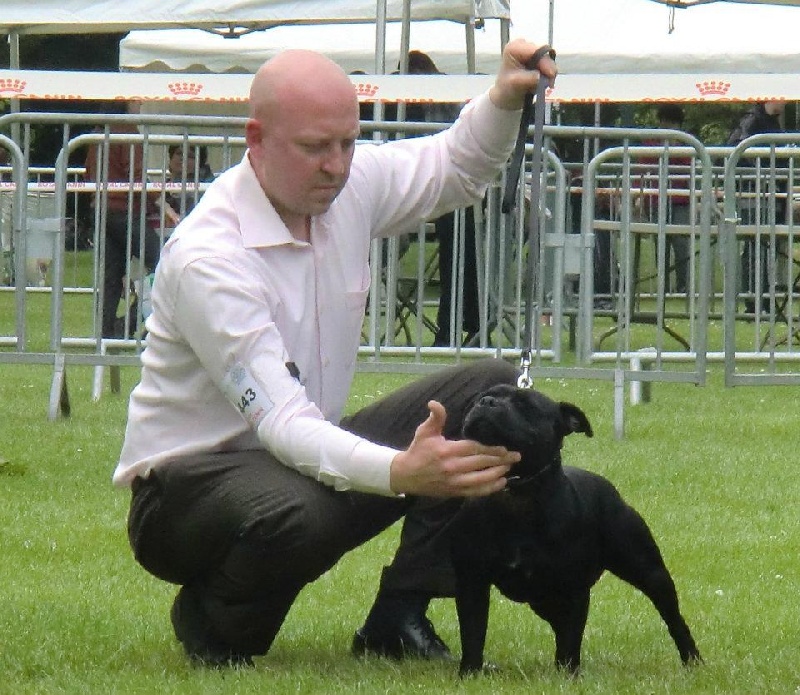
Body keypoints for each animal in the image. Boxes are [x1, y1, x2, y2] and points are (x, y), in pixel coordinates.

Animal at [454, 384, 704, 676]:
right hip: (543, 599)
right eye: (481, 396)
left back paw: (692, 659)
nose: (487, 401)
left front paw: (567, 674)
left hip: (650, 573)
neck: (516, 493)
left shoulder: (573, 588)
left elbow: (571, 637)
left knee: (673, 618)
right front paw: (469, 673)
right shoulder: (472, 582)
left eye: (526, 406)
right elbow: (473, 632)